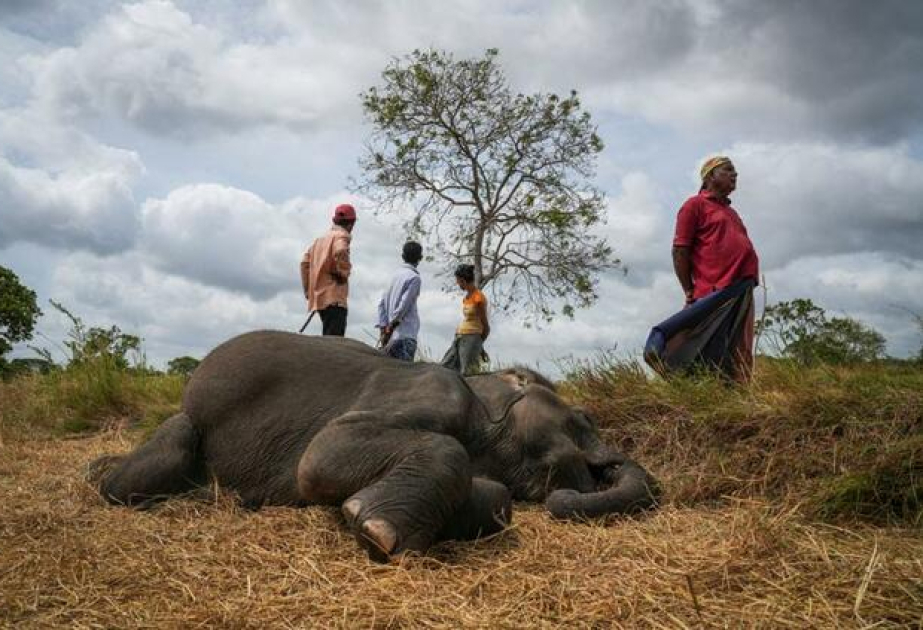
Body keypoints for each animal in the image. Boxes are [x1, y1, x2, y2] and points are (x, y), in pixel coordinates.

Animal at [91, 331, 658, 561]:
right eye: (582, 419)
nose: (593, 474)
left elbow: (497, 499)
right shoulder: (430, 392)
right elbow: (323, 453)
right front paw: (374, 530)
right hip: (189, 427)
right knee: (159, 457)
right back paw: (95, 472)